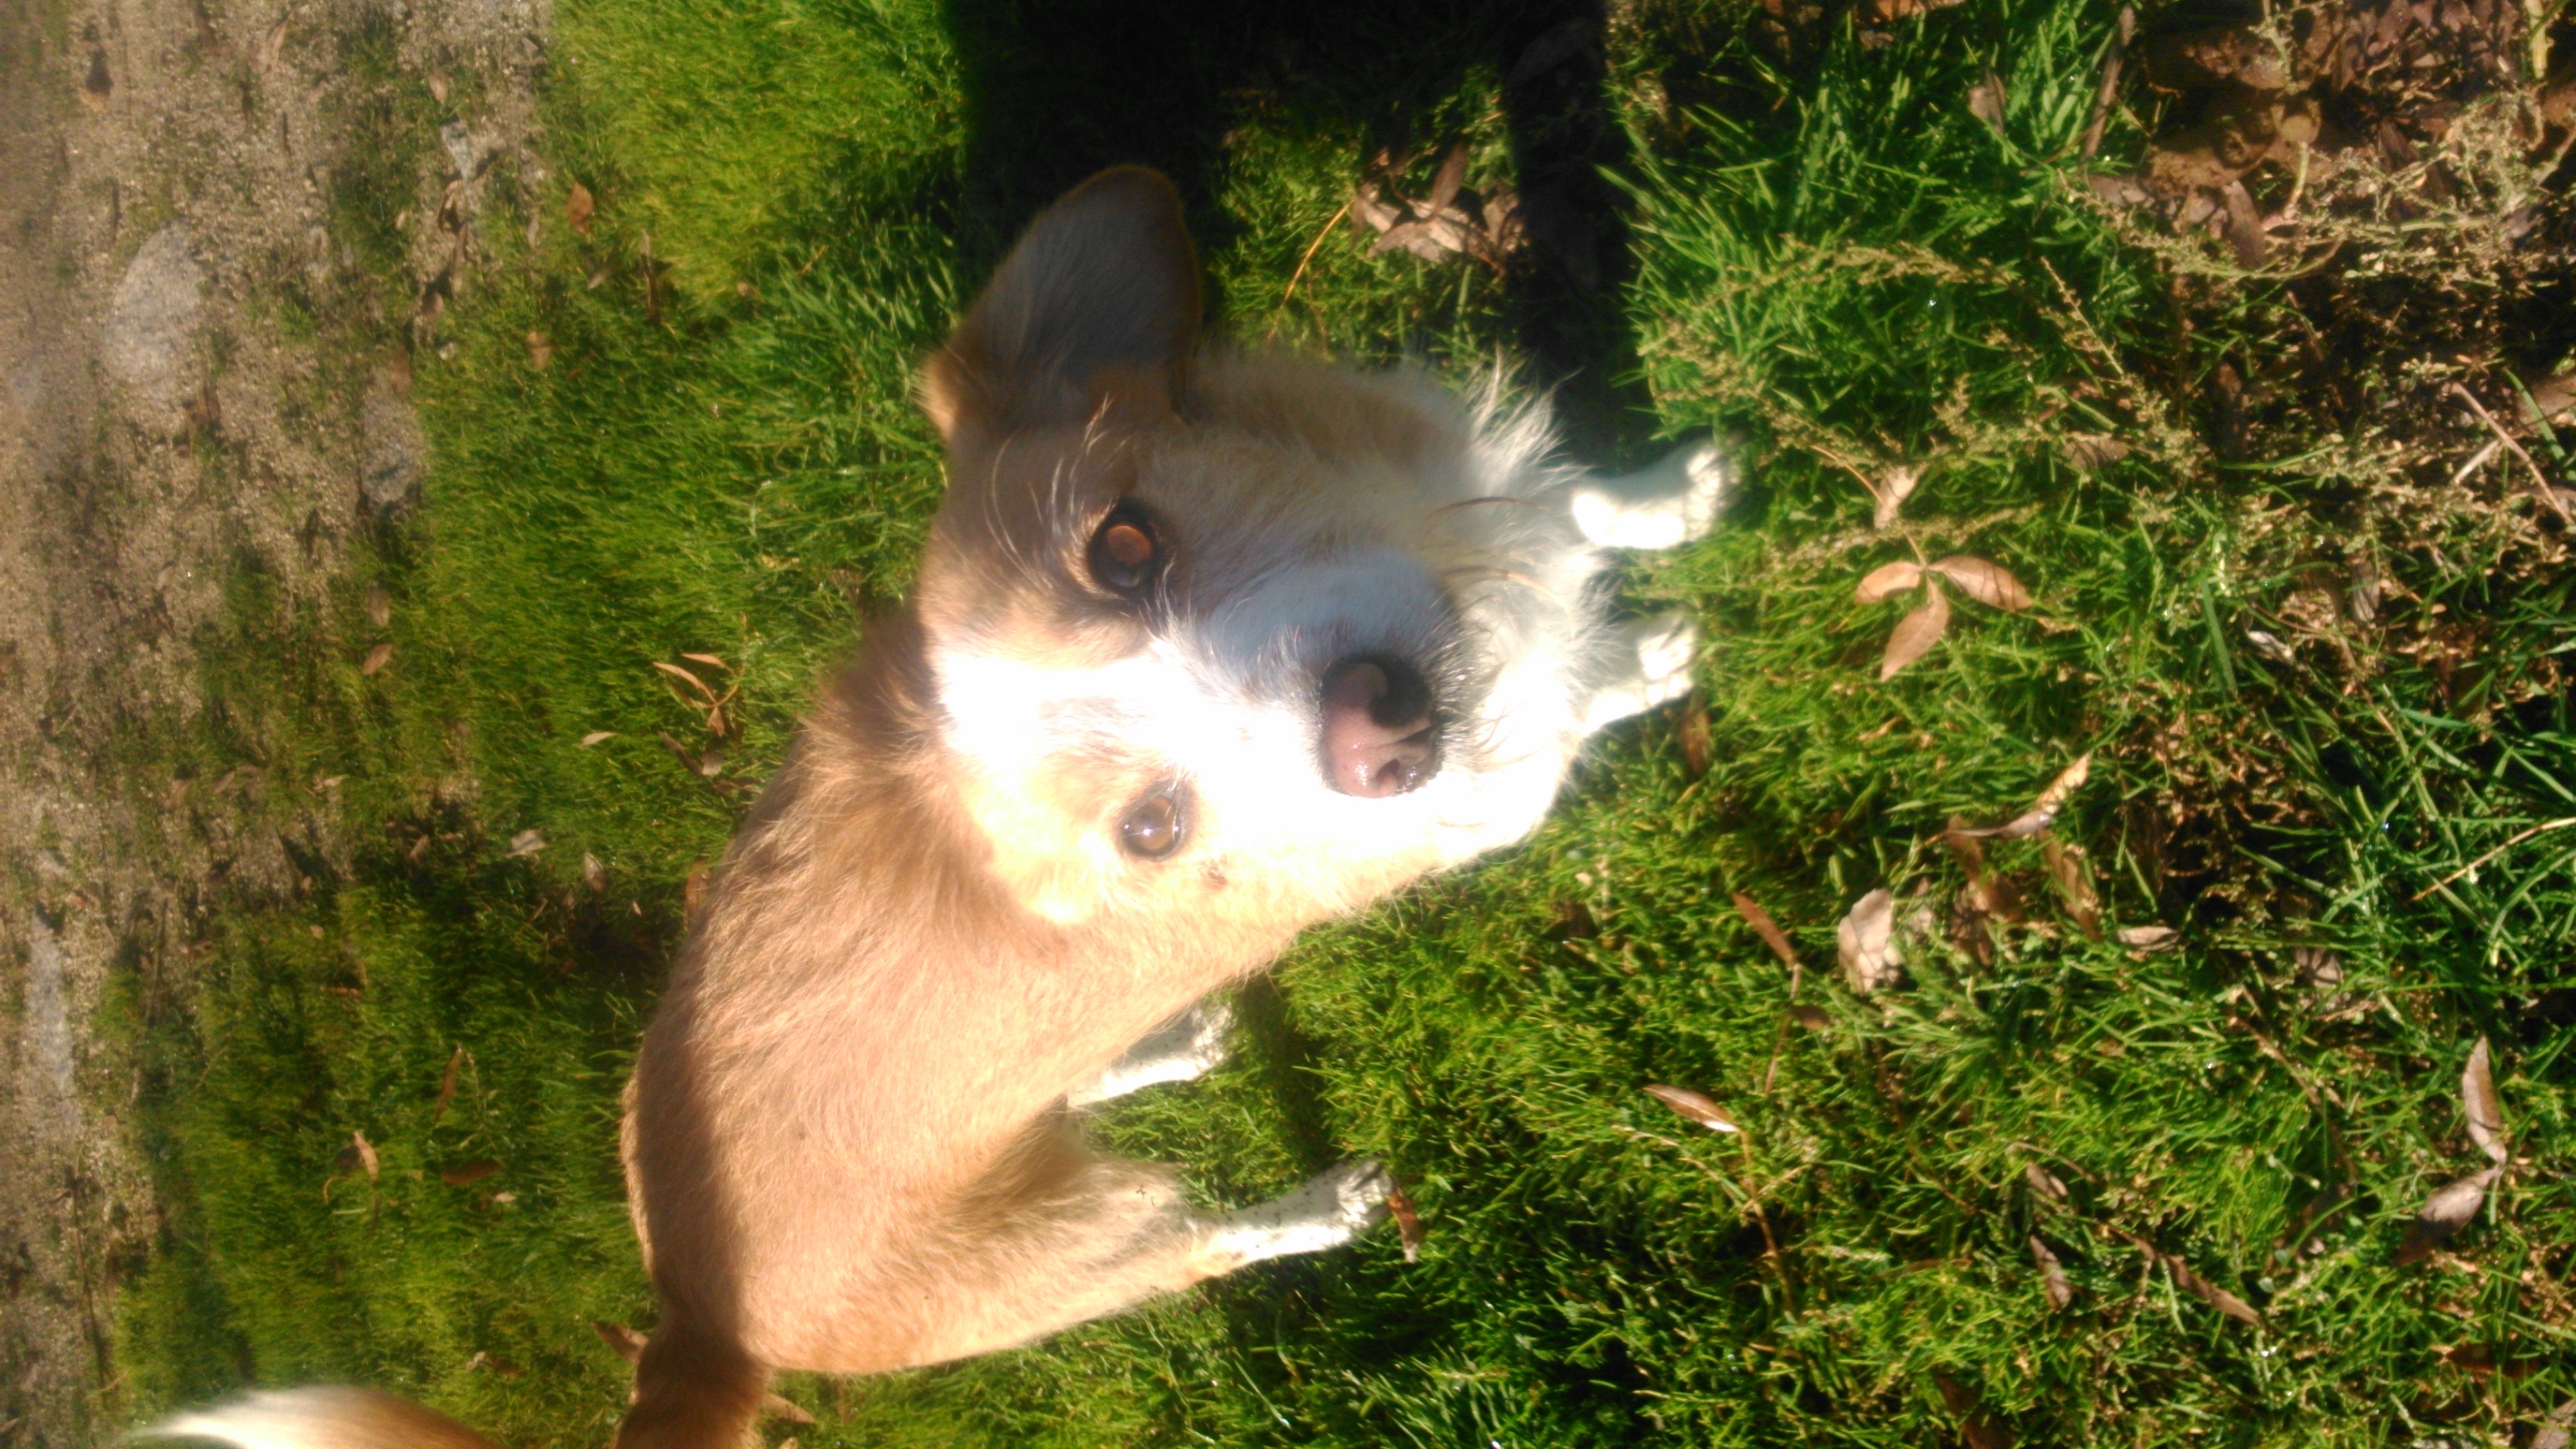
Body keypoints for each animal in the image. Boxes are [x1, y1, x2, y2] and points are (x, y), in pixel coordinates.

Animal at [146, 165, 1731, 1449]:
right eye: (1150, 830)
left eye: (1125, 545)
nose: (1380, 732)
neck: (1466, 586)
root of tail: (696, 1322)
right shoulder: (1498, 769)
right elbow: (1569, 708)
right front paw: (1645, 662)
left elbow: (1582, 508)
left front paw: (1671, 497)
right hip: (1089, 1249)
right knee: (1205, 1239)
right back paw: (1316, 1205)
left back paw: (1174, 1036)